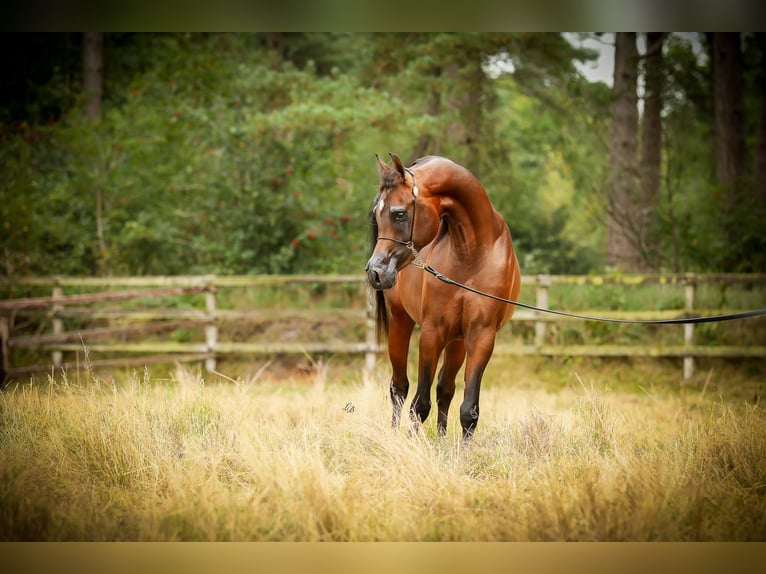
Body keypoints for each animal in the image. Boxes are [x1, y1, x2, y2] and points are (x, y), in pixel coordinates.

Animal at [366, 153, 520, 440]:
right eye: (376, 215)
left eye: (399, 213)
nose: (375, 272)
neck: (472, 252)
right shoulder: (432, 332)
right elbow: (419, 404)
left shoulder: (481, 336)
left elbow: (469, 409)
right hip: (401, 323)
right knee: (399, 387)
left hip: (457, 341)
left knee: (445, 389)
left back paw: (441, 440)